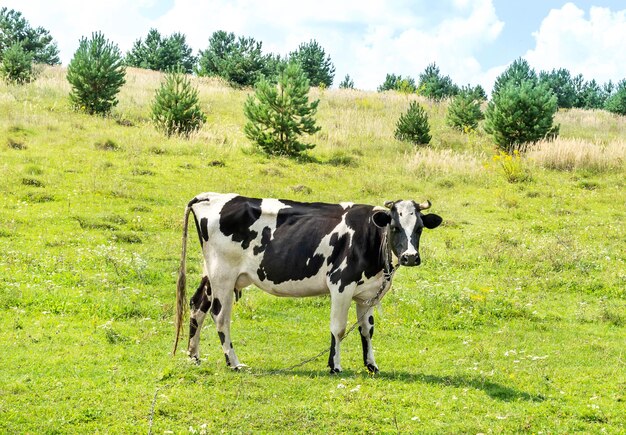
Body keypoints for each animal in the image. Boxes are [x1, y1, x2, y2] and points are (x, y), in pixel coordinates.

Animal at [173, 194, 442, 374]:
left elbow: (367, 329)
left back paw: (193, 356)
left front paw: (371, 365)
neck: (370, 235)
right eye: (395, 227)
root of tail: (211, 196)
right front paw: (334, 365)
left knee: (197, 305)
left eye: (419, 228)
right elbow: (339, 328)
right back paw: (234, 362)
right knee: (220, 317)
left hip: (211, 273)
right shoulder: (341, 284)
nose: (410, 257)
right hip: (223, 276)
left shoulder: (367, 293)